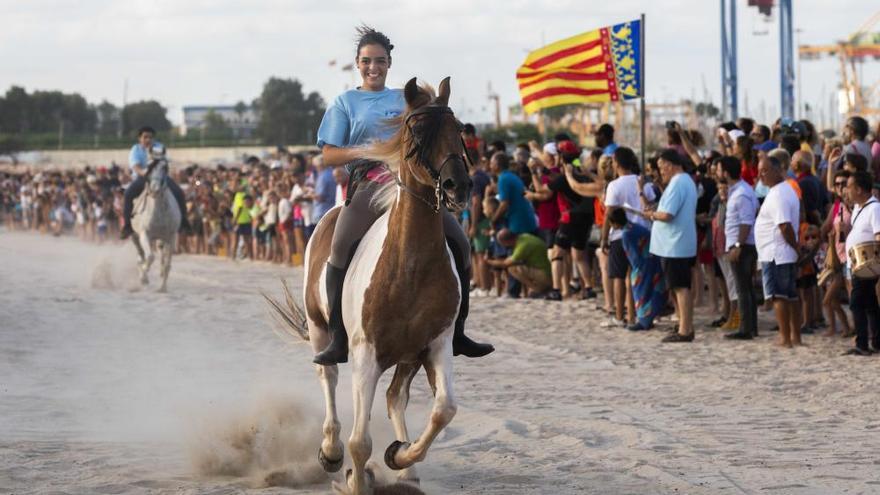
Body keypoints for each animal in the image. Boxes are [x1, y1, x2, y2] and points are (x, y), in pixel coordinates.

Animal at [131, 157, 180, 292]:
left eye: (164, 168)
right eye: (149, 169)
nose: (155, 189)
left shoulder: (171, 237)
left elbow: (167, 264)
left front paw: (163, 288)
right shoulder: (144, 234)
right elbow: (150, 257)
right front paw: (144, 277)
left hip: (160, 239)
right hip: (135, 236)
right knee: (140, 256)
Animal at [266, 75, 470, 494]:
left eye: (459, 130)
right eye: (418, 132)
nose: (458, 186)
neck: (410, 264)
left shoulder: (436, 344)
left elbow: (444, 410)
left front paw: (400, 455)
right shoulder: (366, 353)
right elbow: (359, 442)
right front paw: (355, 479)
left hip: (408, 355)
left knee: (395, 398)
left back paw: (407, 472)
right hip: (320, 330)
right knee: (328, 376)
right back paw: (329, 452)